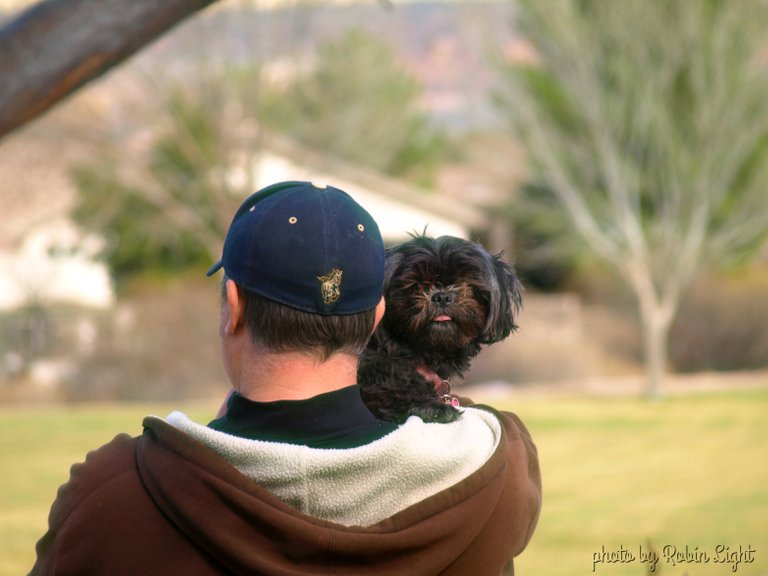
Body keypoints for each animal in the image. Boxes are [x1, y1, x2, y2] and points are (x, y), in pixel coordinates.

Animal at [358, 233, 520, 424]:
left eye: (465, 282)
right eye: (415, 285)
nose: (442, 296)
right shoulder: (374, 368)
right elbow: (392, 385)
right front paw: (432, 407)